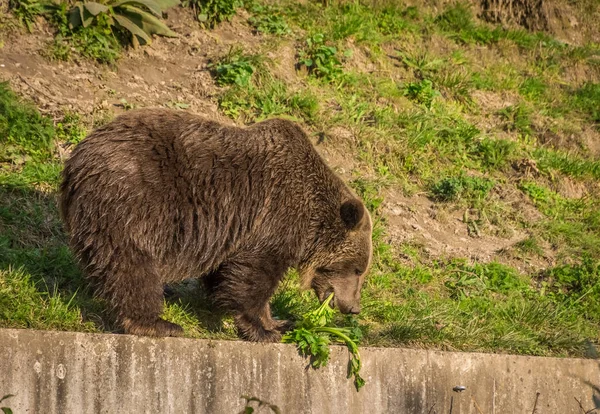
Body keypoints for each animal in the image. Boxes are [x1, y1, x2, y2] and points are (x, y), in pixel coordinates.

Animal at [59, 108, 370, 342]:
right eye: (357, 269)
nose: (353, 308)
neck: (310, 222)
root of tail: (78, 158)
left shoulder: (233, 232)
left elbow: (226, 271)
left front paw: (279, 322)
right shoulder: (272, 217)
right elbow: (255, 276)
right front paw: (262, 329)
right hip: (133, 202)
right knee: (130, 265)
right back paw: (157, 323)